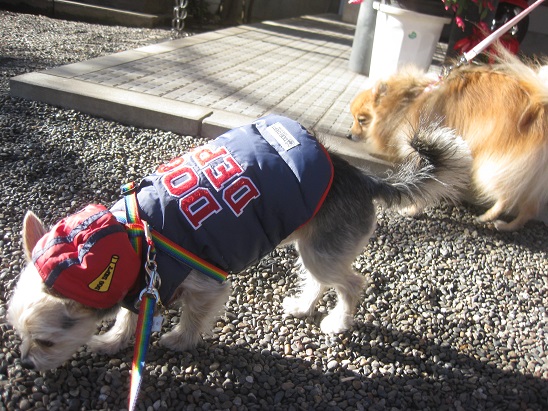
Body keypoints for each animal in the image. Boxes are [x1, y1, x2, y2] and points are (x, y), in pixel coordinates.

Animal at [352, 54, 548, 232]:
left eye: (361, 120)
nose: (349, 134)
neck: (410, 98)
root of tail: (540, 109)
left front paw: (413, 210)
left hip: (492, 165)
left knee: (506, 197)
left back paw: (488, 217)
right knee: (529, 207)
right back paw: (508, 226)